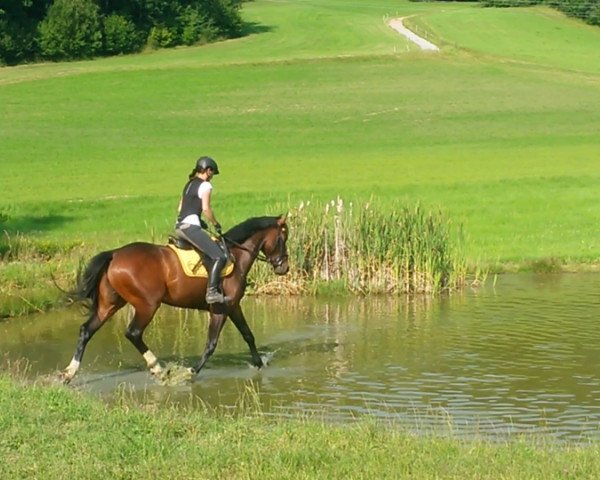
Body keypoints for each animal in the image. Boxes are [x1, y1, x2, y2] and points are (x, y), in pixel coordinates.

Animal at [61, 216, 288, 384]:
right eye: (282, 239)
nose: (284, 268)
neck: (235, 256)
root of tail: (115, 254)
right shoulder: (221, 309)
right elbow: (211, 344)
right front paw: (191, 372)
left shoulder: (233, 307)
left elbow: (248, 335)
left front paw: (260, 364)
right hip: (147, 305)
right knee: (133, 333)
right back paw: (158, 369)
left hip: (111, 304)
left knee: (87, 330)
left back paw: (69, 373)